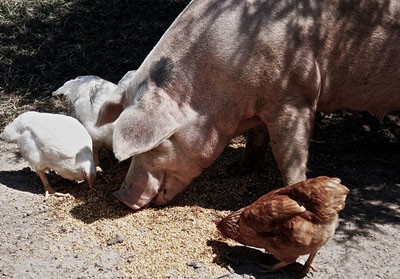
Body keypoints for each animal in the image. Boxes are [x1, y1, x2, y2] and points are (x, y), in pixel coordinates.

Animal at [97, 0, 400, 210]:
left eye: (158, 144)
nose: (121, 196)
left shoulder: (295, 97)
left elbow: (289, 155)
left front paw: (293, 190)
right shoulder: (257, 105)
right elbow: (256, 138)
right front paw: (236, 170)